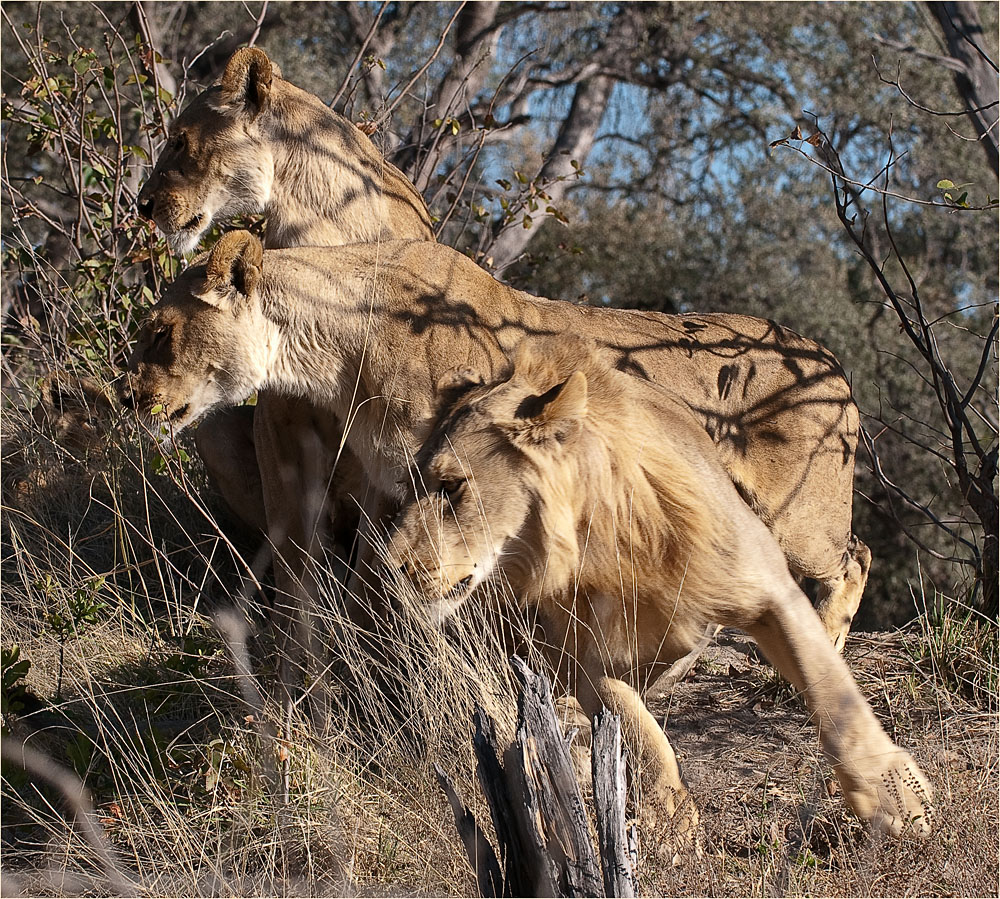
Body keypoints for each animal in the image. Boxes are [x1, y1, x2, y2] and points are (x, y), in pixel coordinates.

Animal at [386, 336, 932, 844]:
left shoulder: (769, 590)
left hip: (802, 525)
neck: (612, 542)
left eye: (452, 486)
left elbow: (831, 688)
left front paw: (896, 798)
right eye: (411, 485)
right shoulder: (588, 657)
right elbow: (639, 728)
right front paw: (669, 820)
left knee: (852, 561)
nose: (389, 565)